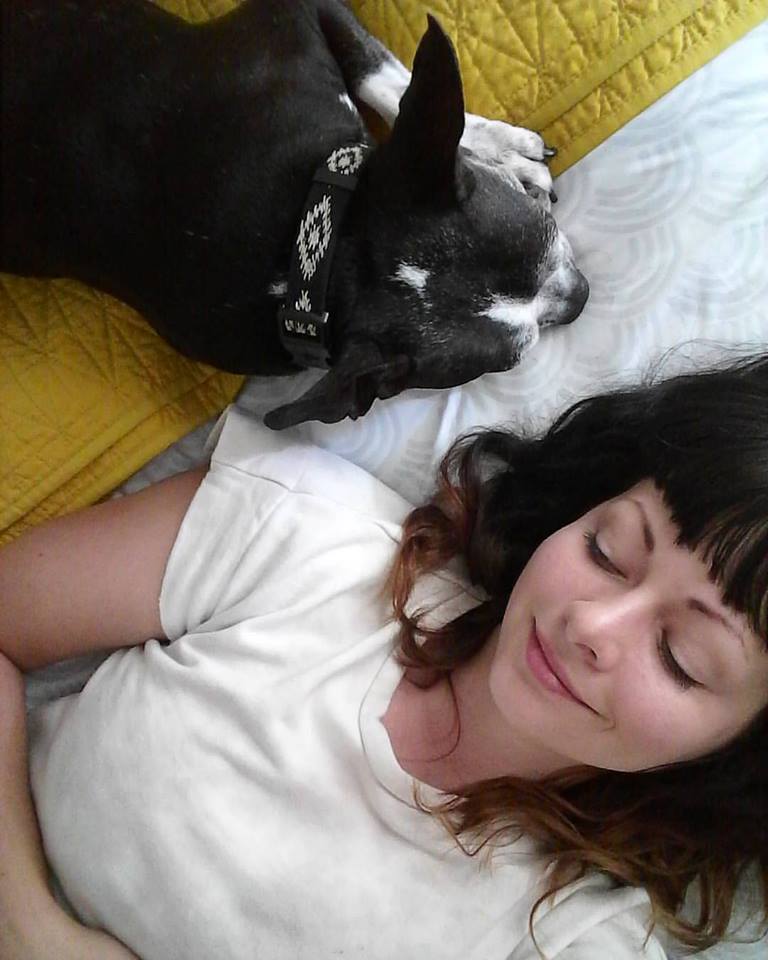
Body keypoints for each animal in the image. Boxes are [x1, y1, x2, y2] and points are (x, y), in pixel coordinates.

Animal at [1, 0, 589, 429]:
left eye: (544, 227)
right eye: (517, 357)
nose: (582, 296)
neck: (316, 249)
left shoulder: (292, 15)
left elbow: (384, 78)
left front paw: (497, 147)